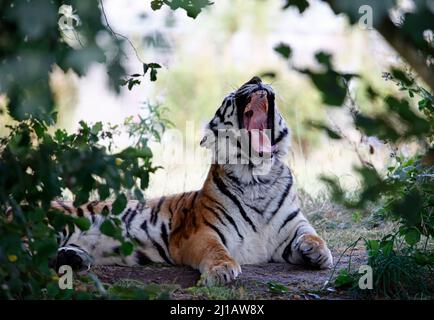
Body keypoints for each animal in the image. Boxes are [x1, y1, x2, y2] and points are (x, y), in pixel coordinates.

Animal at [52, 77, 334, 284]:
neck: (258, 178)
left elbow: (312, 234)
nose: (256, 78)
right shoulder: (202, 232)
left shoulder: (292, 226)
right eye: (229, 97)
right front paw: (221, 271)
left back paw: (73, 259)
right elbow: (215, 250)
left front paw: (319, 253)